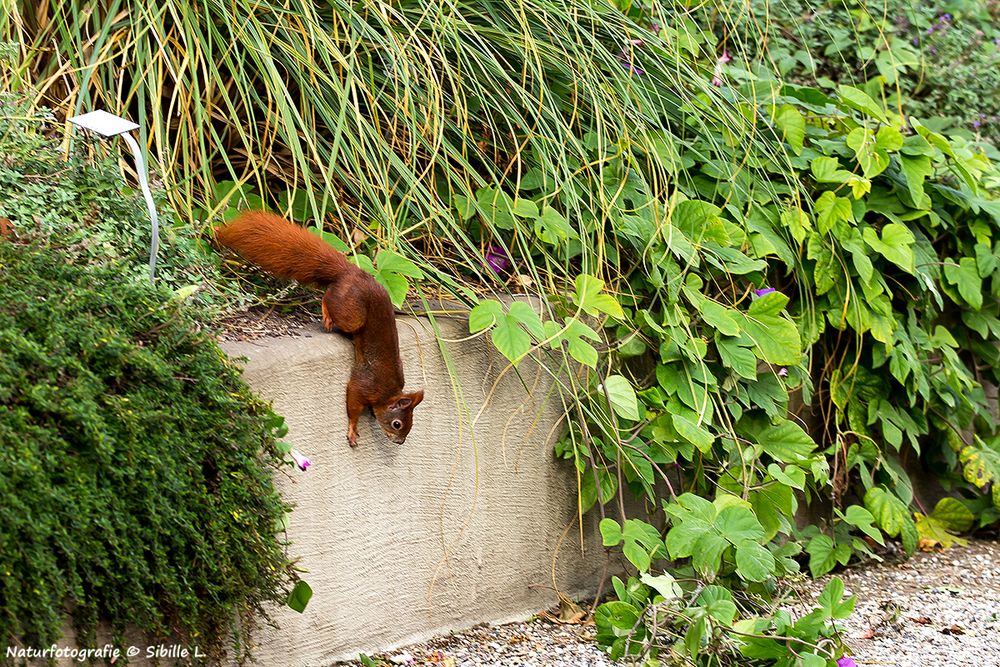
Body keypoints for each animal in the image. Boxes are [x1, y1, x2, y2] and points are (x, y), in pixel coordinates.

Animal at [217, 211, 424, 446]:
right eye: (397, 424)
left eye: (410, 424)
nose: (400, 442)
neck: (388, 393)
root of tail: (349, 272)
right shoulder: (364, 385)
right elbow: (352, 403)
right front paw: (353, 428)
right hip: (352, 313)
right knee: (329, 297)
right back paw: (326, 313)